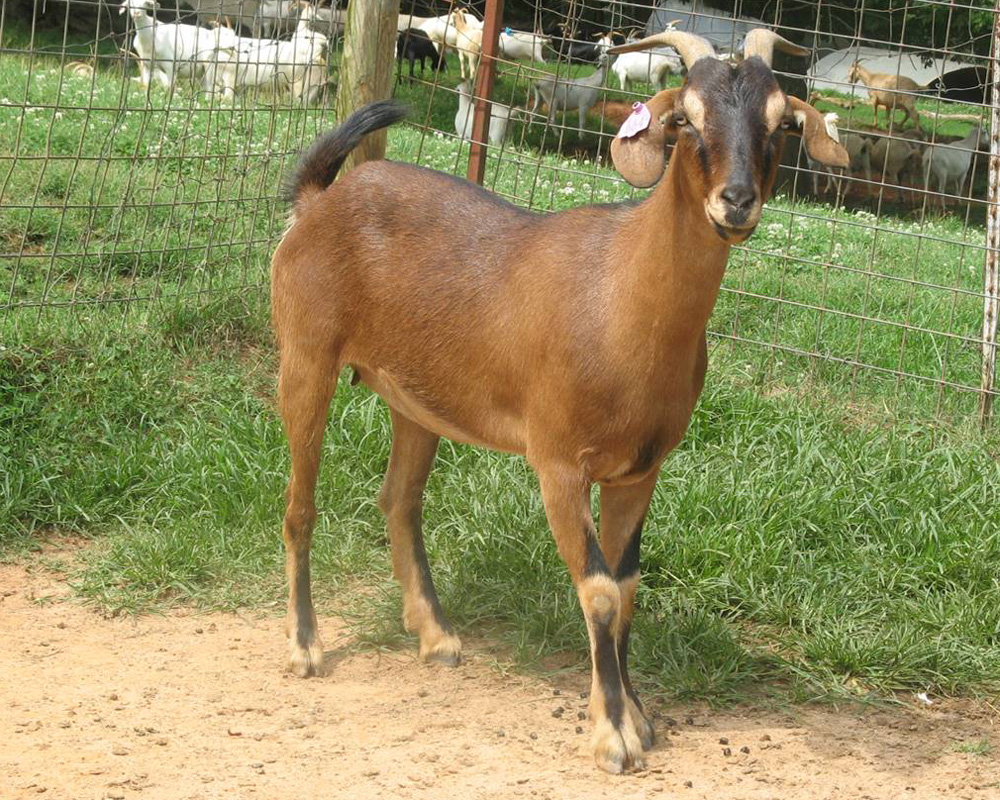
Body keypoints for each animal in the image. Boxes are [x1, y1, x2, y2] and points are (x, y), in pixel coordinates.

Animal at [271, 27, 846, 775]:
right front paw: (611, 734)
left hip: (415, 398)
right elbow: (598, 590)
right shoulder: (559, 464)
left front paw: (636, 713)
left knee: (398, 499)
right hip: (304, 352)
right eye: (687, 120)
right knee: (300, 505)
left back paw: (435, 635)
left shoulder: (640, 470)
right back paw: (306, 644)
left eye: (781, 123)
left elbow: (627, 588)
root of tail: (318, 201)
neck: (623, 298)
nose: (737, 202)